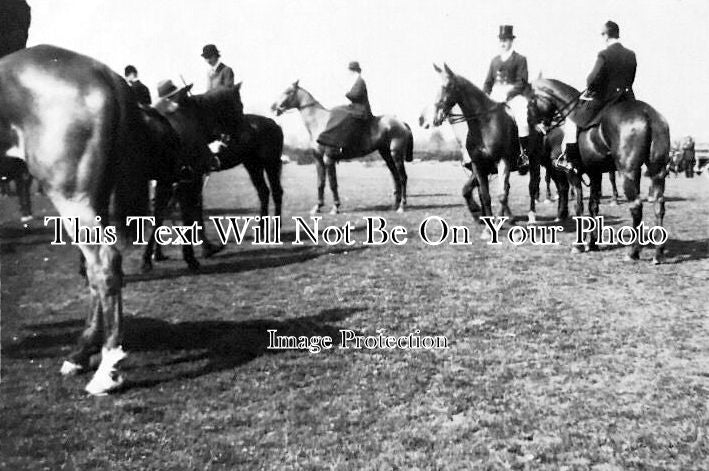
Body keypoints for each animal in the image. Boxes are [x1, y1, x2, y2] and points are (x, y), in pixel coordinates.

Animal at [0, 46, 243, 396]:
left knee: (103, 266)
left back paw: (103, 363)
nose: (220, 152)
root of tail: (106, 77)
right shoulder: (179, 184)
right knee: (99, 268)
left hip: (78, 198)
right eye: (239, 107)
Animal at [140, 112, 284, 272]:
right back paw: (261, 231)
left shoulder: (190, 179)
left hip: (270, 163)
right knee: (263, 192)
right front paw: (154, 255)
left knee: (277, 192)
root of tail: (274, 123)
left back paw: (275, 230)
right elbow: (163, 213)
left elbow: (189, 210)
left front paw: (204, 250)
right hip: (253, 164)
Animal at [272, 80, 414, 214]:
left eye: (288, 92)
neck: (320, 122)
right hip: (386, 154)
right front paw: (318, 207)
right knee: (396, 177)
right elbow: (320, 183)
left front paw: (335, 207)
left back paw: (402, 206)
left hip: (396, 154)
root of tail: (401, 123)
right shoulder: (318, 159)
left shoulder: (328, 159)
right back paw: (395, 205)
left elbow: (333, 184)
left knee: (403, 177)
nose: (273, 107)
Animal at [532, 76, 668, 262]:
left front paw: (579, 245)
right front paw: (592, 243)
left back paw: (633, 252)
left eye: (531, 100)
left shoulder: (573, 173)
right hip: (657, 171)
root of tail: (648, 115)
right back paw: (658, 253)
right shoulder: (594, 174)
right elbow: (593, 206)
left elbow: (579, 206)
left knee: (636, 207)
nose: (540, 127)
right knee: (659, 204)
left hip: (627, 172)